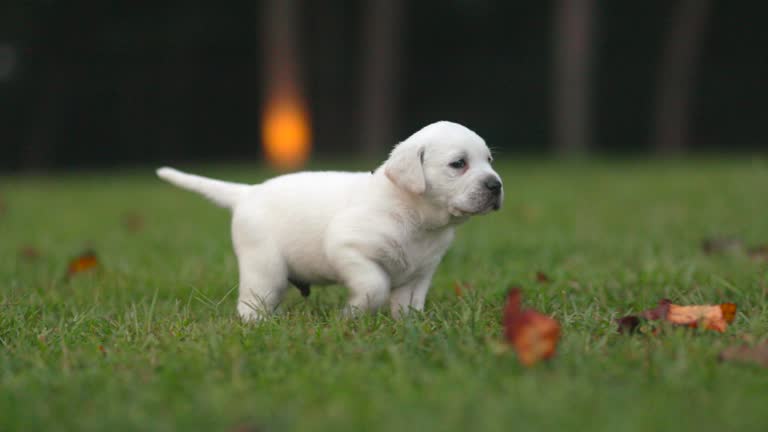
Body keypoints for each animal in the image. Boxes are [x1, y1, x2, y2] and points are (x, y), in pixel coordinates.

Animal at [157, 120, 504, 320]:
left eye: (489, 160)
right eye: (458, 164)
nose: (496, 185)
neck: (415, 216)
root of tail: (247, 192)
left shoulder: (420, 274)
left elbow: (409, 306)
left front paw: (408, 330)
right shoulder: (347, 247)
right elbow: (375, 285)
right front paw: (352, 314)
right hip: (264, 269)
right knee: (251, 304)